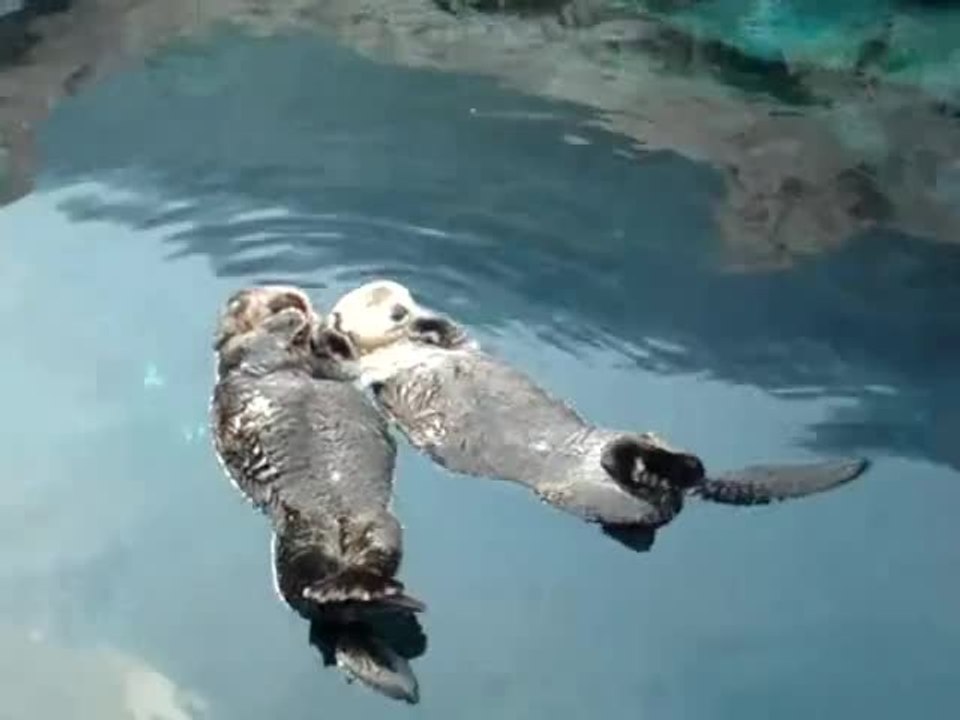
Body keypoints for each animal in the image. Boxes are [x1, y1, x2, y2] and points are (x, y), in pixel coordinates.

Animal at [209, 285, 425, 703]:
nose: (292, 297)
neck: (300, 351)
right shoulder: (242, 352)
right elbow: (250, 343)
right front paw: (290, 318)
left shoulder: (331, 367)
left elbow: (340, 365)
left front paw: (331, 333)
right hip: (298, 539)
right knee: (305, 594)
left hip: (380, 525)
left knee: (371, 564)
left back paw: (382, 596)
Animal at [327, 279, 870, 552]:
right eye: (393, 311)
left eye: (406, 301)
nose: (411, 311)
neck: (402, 348)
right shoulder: (367, 373)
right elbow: (356, 369)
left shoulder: (458, 344)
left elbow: (460, 336)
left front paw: (434, 323)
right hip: (592, 498)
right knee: (644, 516)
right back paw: (643, 468)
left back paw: (661, 462)